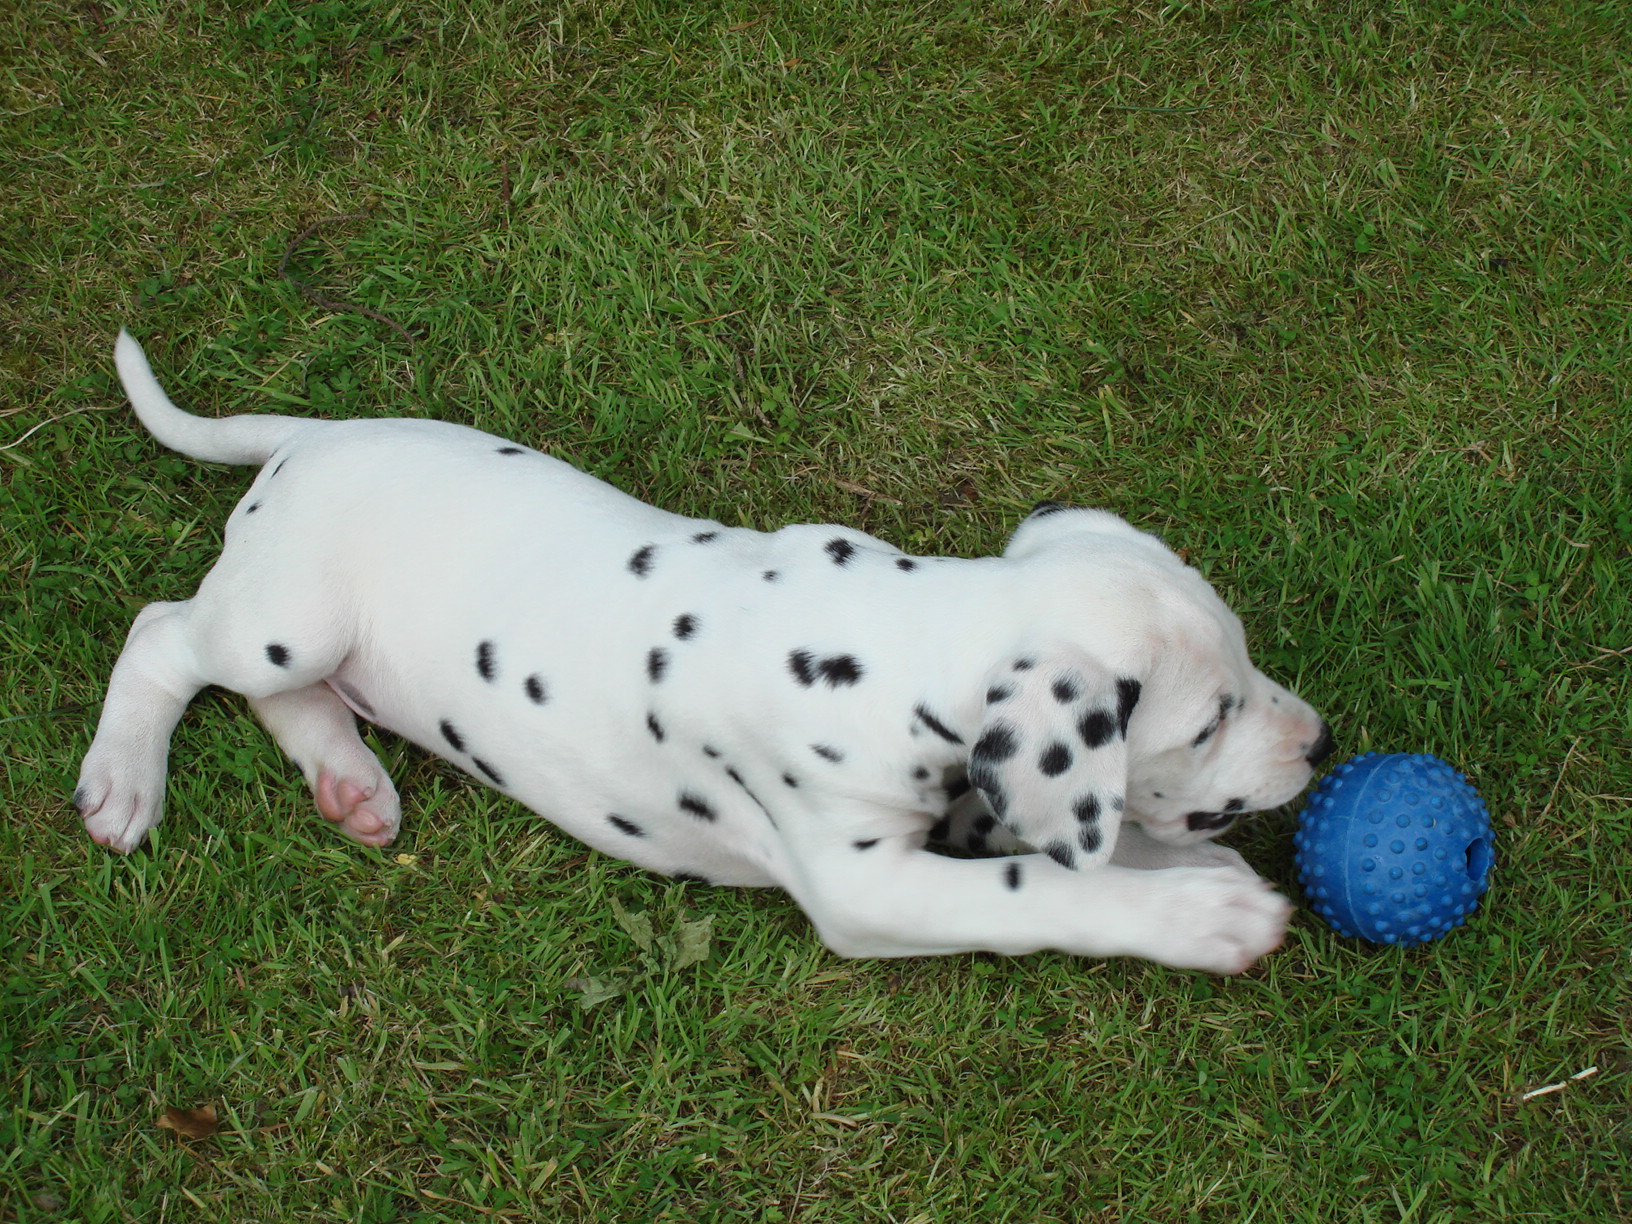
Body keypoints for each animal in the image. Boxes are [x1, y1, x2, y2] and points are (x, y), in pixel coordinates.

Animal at [76, 331, 1332, 974]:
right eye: (1209, 720)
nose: (1321, 744)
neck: (892, 641)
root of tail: (317, 436)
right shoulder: (862, 885)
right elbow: (1038, 887)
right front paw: (1198, 917)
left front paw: (1188, 870)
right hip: (284, 617)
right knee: (164, 639)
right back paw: (124, 779)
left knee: (284, 698)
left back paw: (349, 783)